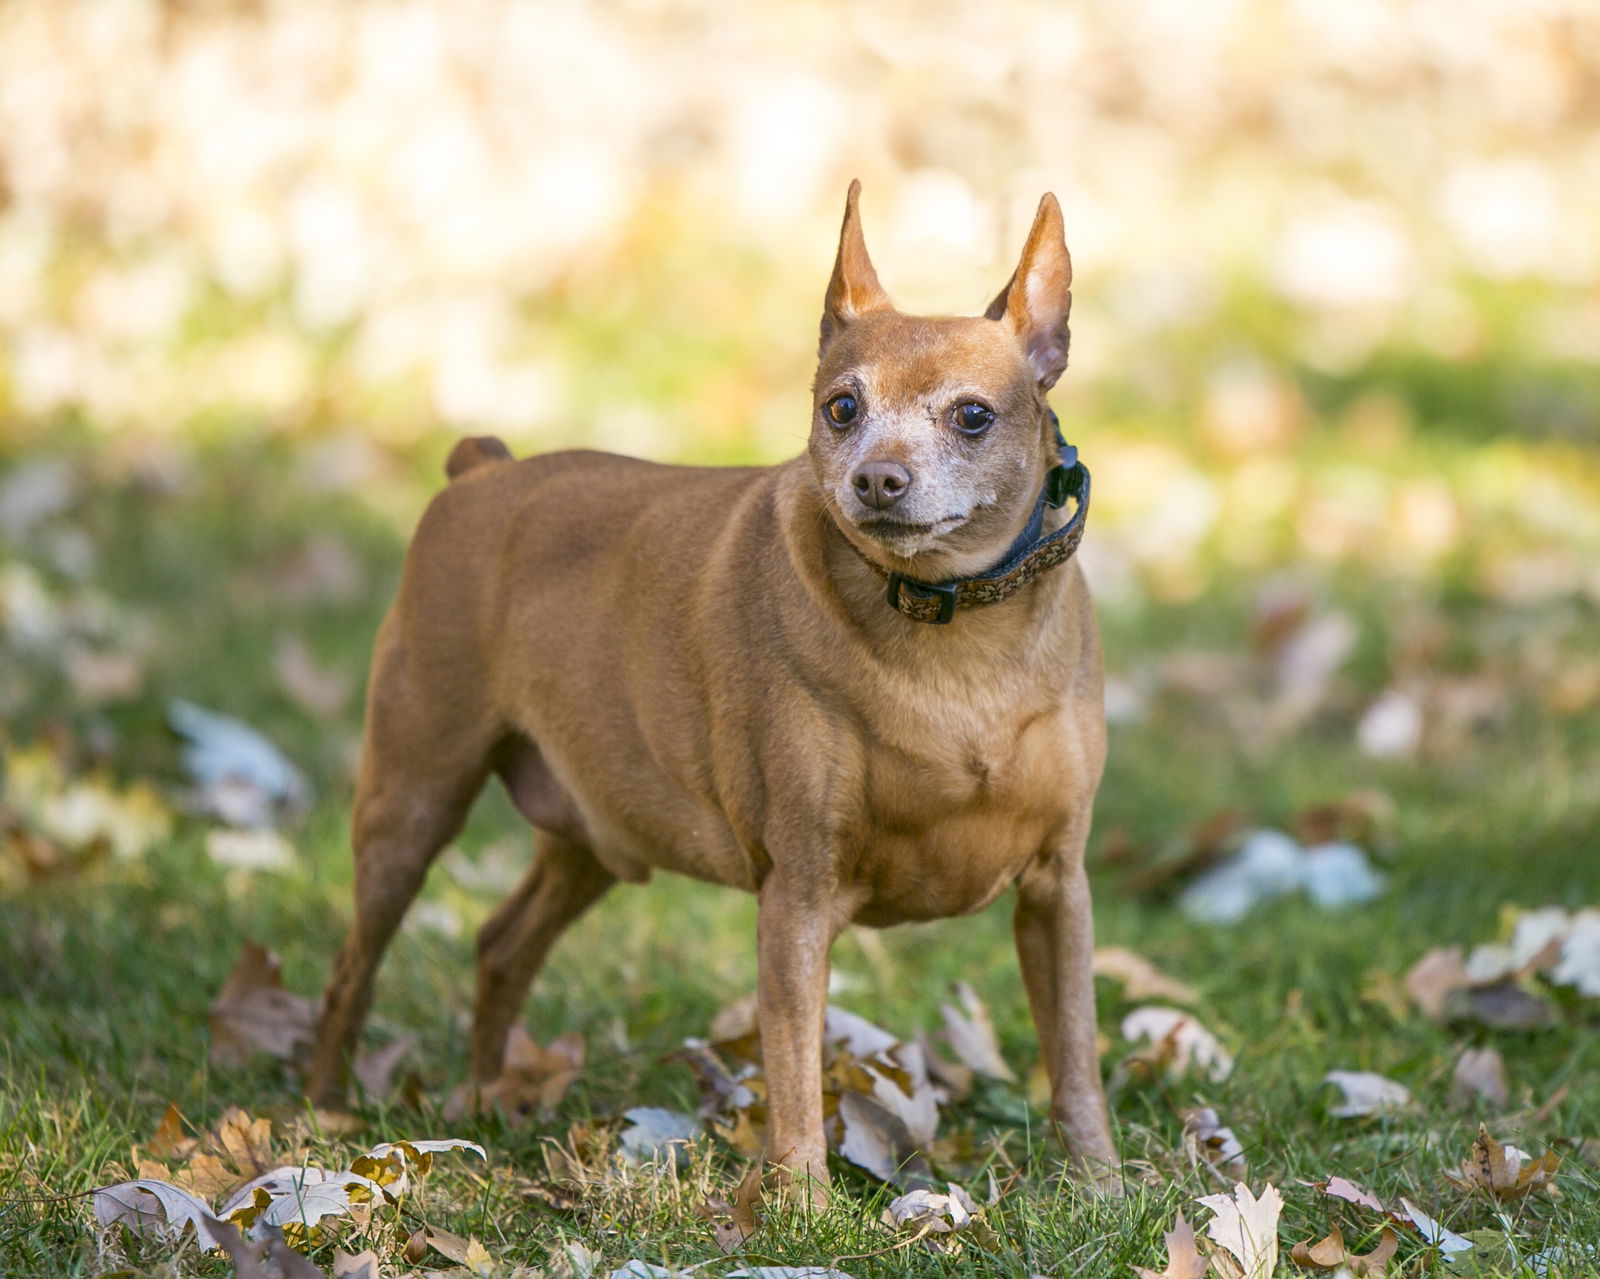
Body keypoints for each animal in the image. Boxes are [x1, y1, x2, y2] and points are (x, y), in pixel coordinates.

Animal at [312, 180, 1113, 1190]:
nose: (877, 479)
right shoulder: (798, 897)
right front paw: (803, 1199)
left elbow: (1075, 1051)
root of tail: (482, 472)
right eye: (841, 407)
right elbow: (795, 1067)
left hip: (591, 835)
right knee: (355, 963)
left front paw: (1102, 1179)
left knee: (501, 943)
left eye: (973, 416)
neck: (954, 635)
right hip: (413, 802)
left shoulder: (1058, 890)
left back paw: (486, 1097)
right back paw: (326, 1110)